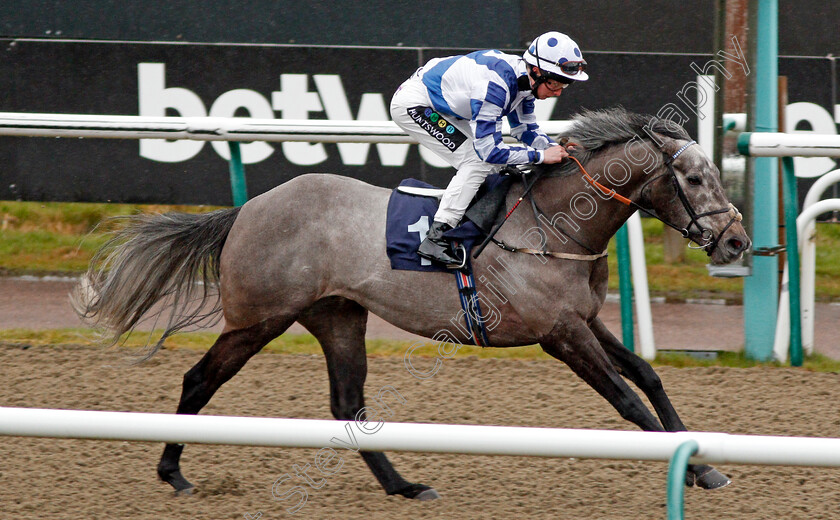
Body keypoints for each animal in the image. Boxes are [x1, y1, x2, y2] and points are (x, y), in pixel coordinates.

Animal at [75, 107, 752, 502]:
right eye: (695, 179)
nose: (737, 241)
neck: (553, 224)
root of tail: (248, 209)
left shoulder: (583, 319)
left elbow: (648, 376)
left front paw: (706, 464)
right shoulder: (559, 334)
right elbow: (626, 399)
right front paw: (687, 469)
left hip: (337, 316)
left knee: (346, 404)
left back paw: (403, 486)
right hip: (259, 317)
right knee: (199, 379)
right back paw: (172, 471)